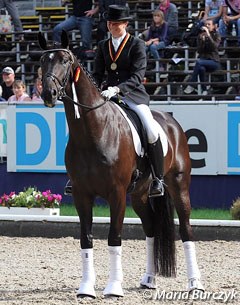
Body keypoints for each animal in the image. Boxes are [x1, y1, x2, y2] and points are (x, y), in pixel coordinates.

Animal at [38, 32, 203, 298]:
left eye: (64, 60)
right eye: (43, 60)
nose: (48, 94)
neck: (93, 131)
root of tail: (172, 123)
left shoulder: (116, 194)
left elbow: (114, 238)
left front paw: (114, 288)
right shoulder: (82, 194)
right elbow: (86, 239)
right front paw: (86, 288)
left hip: (179, 186)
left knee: (186, 230)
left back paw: (195, 283)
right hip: (139, 195)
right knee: (151, 229)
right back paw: (149, 279)